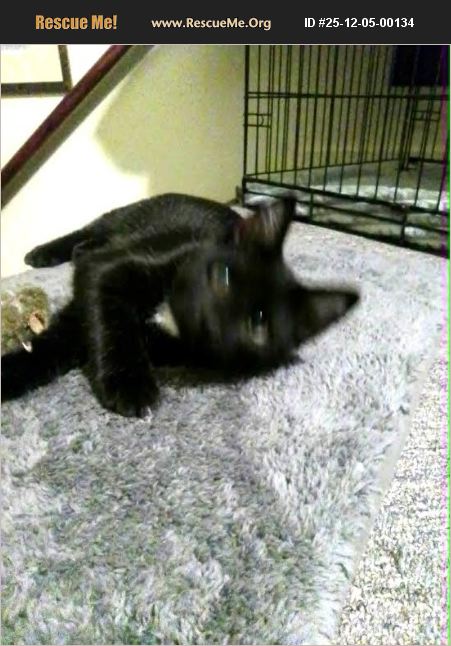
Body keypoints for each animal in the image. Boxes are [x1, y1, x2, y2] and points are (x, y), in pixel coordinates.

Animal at [1, 193, 359, 417]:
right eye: (222, 276)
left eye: (258, 324)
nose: (208, 319)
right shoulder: (107, 268)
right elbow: (100, 321)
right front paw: (129, 382)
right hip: (126, 217)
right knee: (90, 228)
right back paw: (46, 252)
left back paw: (78, 250)